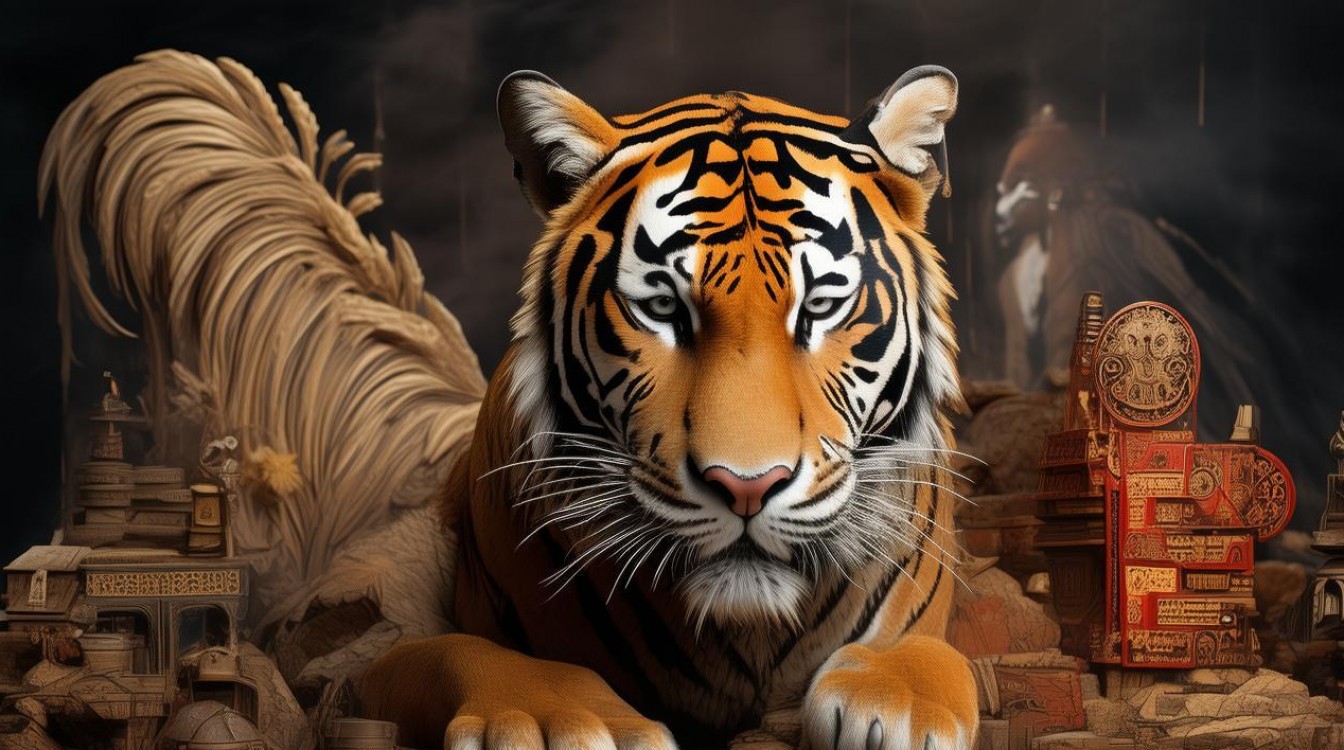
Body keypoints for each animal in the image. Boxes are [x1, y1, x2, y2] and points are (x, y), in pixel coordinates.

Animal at [362, 64, 977, 750]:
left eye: (819, 306)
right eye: (662, 308)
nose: (746, 487)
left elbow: (930, 652)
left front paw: (897, 704)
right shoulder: (385, 664)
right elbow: (464, 654)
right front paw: (558, 722)